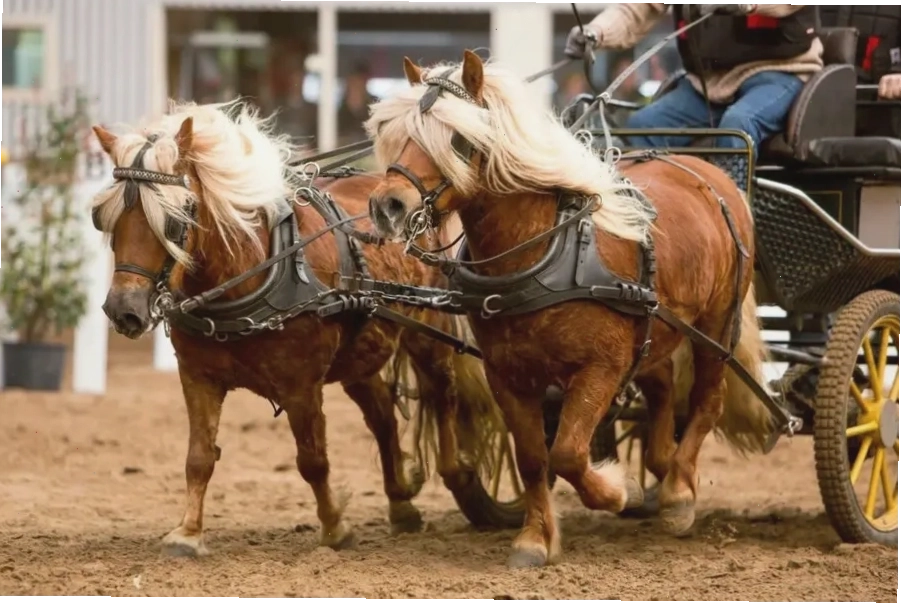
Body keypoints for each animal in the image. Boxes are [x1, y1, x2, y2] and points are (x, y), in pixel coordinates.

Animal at [89, 99, 501, 556]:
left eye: (176, 219)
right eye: (102, 217)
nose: (124, 310)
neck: (250, 270)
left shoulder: (301, 385)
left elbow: (312, 460)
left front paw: (335, 529)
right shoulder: (197, 377)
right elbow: (198, 457)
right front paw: (187, 534)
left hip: (426, 332)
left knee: (442, 393)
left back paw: (458, 471)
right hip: (360, 352)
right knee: (382, 416)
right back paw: (400, 505)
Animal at [364, 50, 775, 568]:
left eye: (457, 139)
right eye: (395, 133)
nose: (388, 207)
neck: (544, 253)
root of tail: (710, 174)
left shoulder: (601, 368)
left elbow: (568, 453)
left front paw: (619, 491)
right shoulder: (508, 375)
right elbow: (533, 457)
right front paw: (535, 540)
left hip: (717, 324)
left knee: (707, 400)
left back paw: (679, 493)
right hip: (656, 328)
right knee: (661, 387)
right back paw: (662, 468)